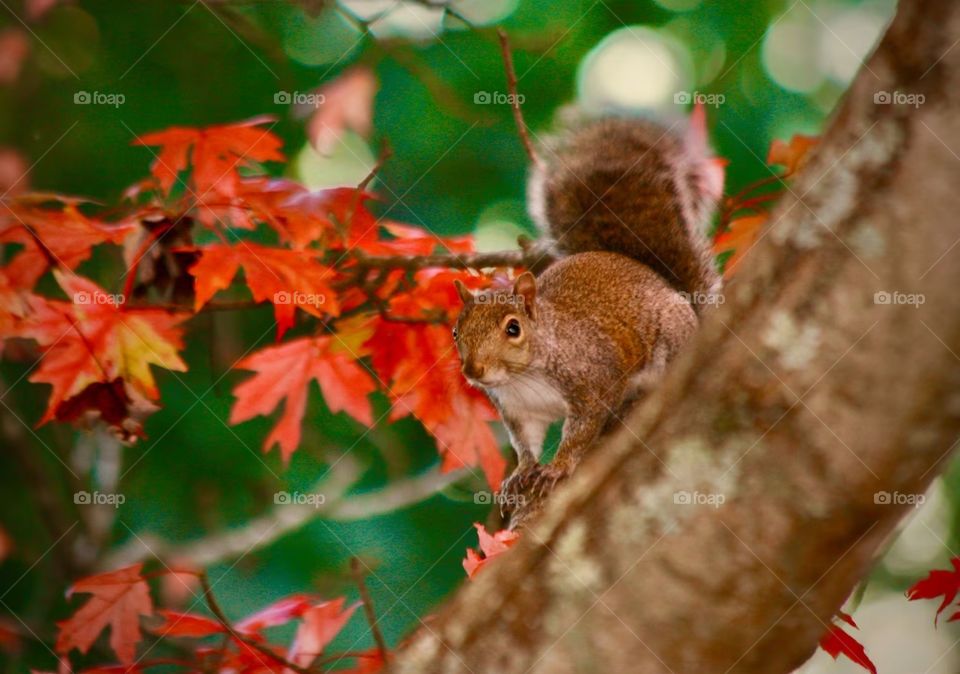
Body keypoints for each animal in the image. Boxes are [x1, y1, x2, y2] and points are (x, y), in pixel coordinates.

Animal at [452, 106, 724, 503]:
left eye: (513, 328)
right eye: (456, 332)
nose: (474, 370)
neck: (523, 376)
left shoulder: (593, 379)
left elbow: (581, 431)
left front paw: (558, 468)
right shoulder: (518, 412)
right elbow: (525, 444)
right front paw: (522, 472)